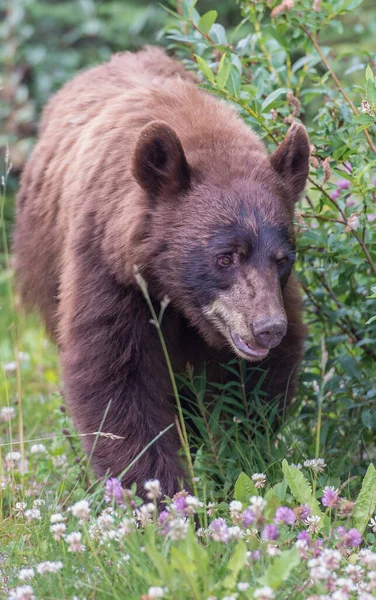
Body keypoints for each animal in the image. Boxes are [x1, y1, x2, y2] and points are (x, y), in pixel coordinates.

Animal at [13, 45, 310, 496]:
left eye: (283, 258)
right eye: (225, 256)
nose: (267, 328)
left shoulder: (275, 299)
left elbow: (255, 385)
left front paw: (240, 455)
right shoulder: (107, 267)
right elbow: (115, 378)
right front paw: (158, 491)